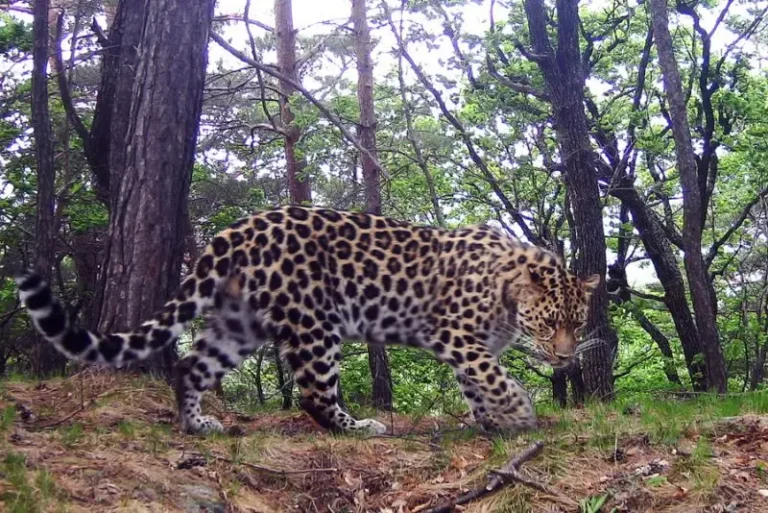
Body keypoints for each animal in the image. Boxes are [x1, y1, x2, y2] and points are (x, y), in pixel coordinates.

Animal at [16, 205, 599, 436]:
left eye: (577, 324)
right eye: (550, 323)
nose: (566, 355)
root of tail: (239, 228)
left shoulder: (473, 347)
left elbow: (479, 384)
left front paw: (492, 423)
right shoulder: (456, 335)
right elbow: (494, 379)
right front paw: (519, 414)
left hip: (240, 326)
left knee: (190, 366)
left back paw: (197, 424)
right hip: (317, 323)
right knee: (315, 395)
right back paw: (359, 428)